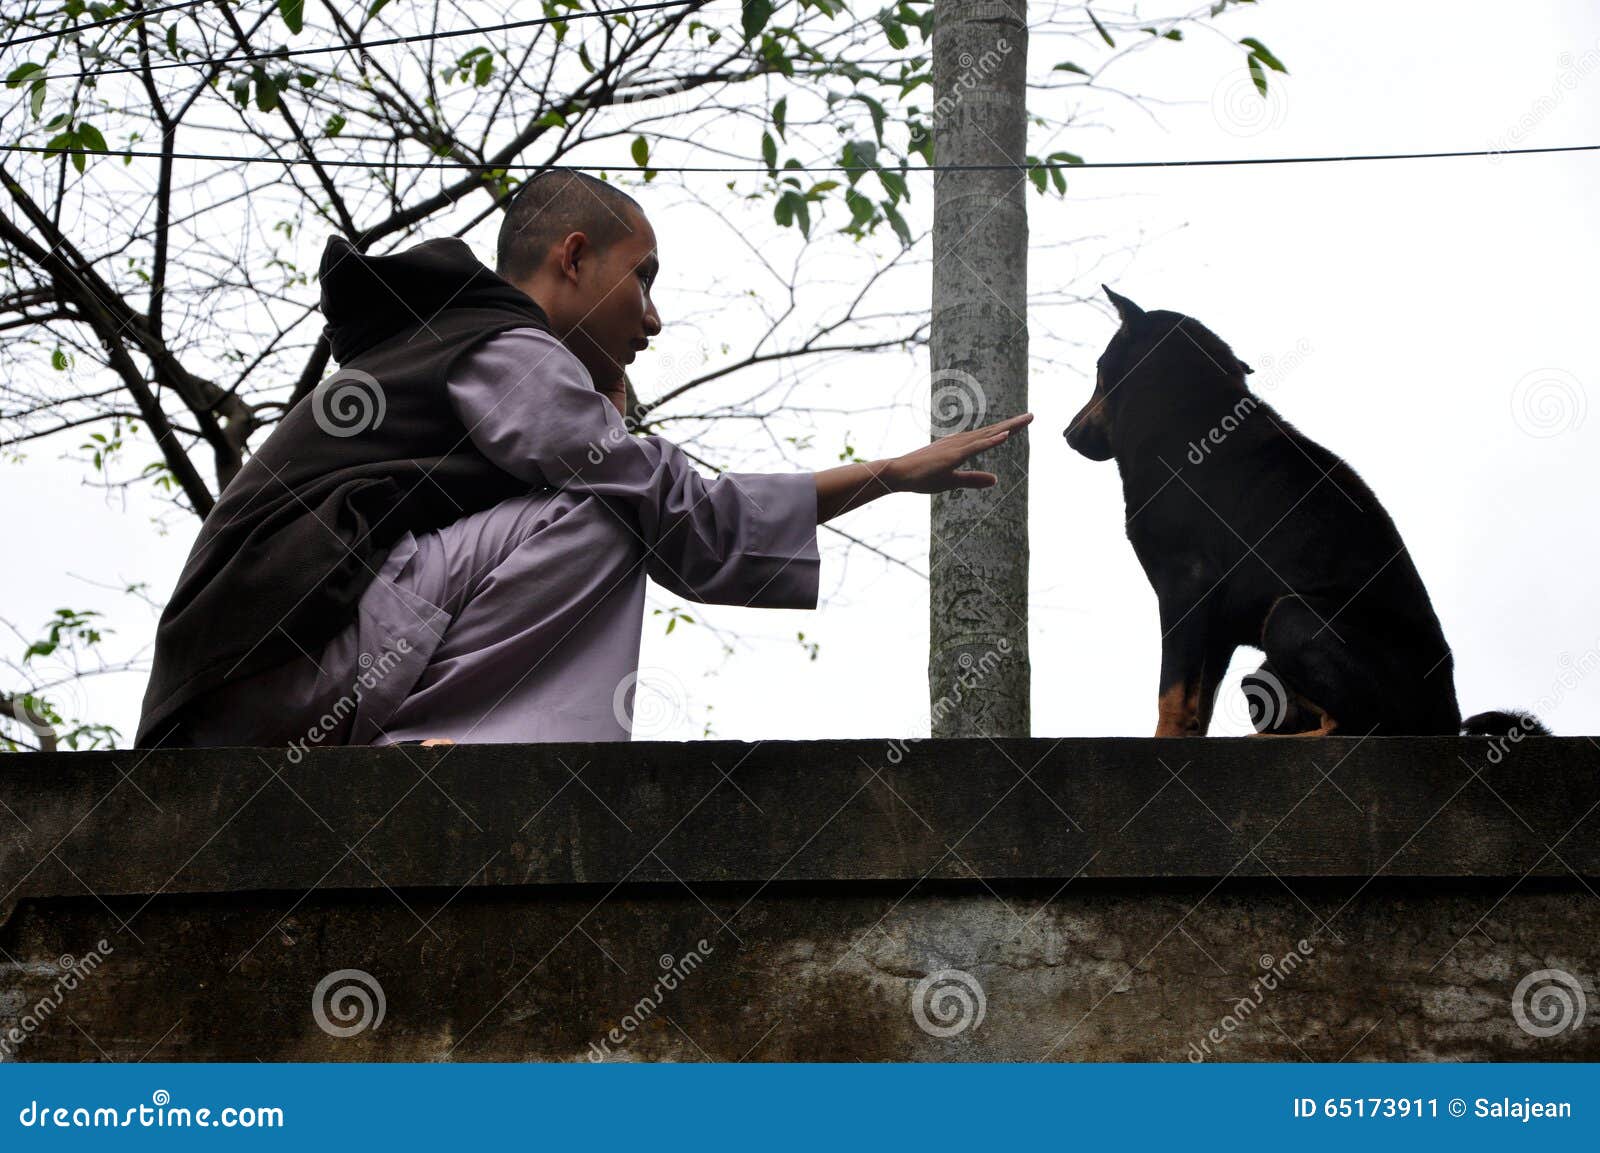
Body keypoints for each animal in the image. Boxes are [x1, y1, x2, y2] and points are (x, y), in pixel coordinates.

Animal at [1062, 287, 1536, 738]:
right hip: (1263, 673)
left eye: (1100, 369)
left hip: (1292, 616)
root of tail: (1446, 719)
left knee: (1353, 726)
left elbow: (1173, 694)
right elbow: (1200, 703)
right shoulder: (1214, 626)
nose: (1068, 433)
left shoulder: (1186, 585)